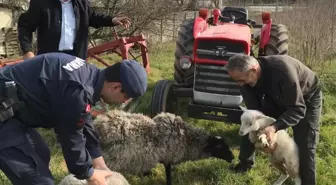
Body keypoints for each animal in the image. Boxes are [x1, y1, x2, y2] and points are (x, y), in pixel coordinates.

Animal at [91, 109, 234, 185]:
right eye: (220, 146)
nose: (233, 157)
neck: (187, 139)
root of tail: (99, 125)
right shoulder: (168, 158)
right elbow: (169, 174)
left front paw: (146, 174)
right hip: (110, 161)